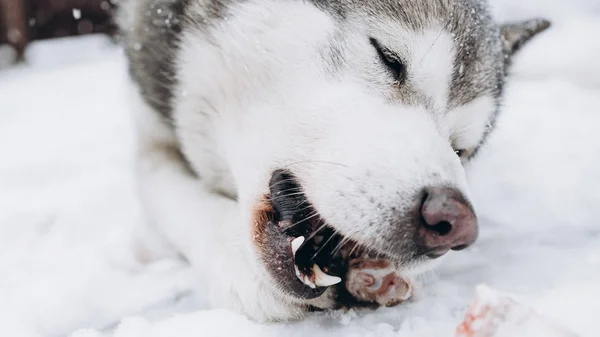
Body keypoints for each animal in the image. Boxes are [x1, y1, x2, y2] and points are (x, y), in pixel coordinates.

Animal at [116, 0, 548, 320]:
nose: (454, 223)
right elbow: (173, 196)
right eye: (387, 57)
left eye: (461, 149)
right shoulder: (151, 139)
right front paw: (235, 259)